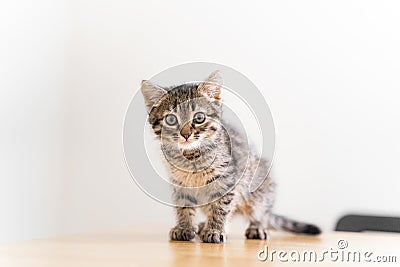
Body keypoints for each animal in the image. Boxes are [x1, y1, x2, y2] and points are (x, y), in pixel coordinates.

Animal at [142, 71, 320, 245]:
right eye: (171, 119)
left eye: (199, 117)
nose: (185, 134)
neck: (191, 157)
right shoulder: (179, 183)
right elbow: (183, 205)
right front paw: (184, 227)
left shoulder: (226, 181)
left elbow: (221, 207)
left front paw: (214, 230)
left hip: (259, 187)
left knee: (260, 212)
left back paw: (257, 227)